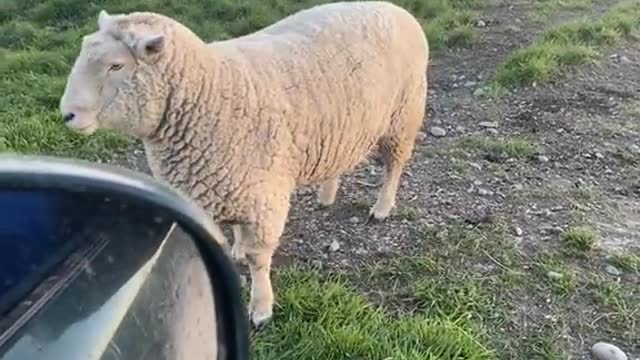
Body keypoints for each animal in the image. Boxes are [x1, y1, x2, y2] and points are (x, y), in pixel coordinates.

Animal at [60, 0, 430, 326]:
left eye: (116, 66)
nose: (66, 114)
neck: (208, 90)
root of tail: (396, 9)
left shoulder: (262, 194)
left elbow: (258, 258)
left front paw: (261, 308)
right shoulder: (229, 180)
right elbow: (237, 231)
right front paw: (236, 248)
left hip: (404, 115)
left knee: (394, 165)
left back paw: (382, 207)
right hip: (346, 126)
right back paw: (327, 195)